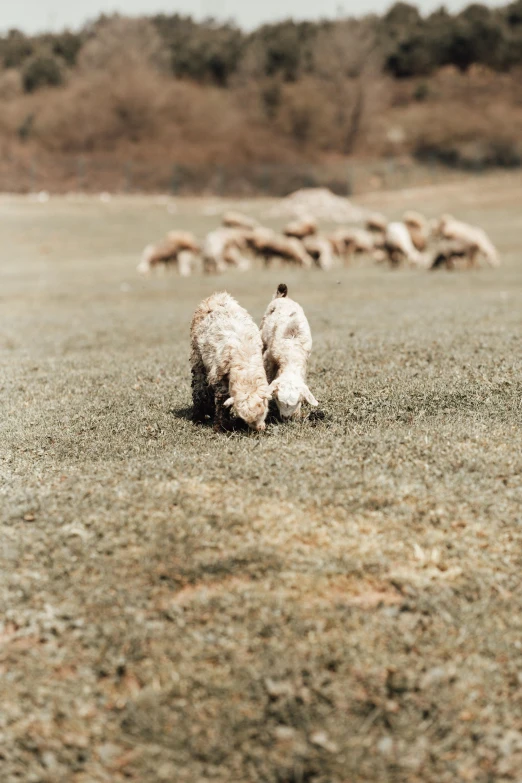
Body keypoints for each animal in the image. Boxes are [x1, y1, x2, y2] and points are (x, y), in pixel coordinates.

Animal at [190, 290, 270, 432]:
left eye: (264, 412)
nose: (260, 428)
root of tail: (216, 296)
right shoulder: (219, 376)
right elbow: (222, 401)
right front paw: (221, 426)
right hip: (197, 356)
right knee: (199, 386)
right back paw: (198, 416)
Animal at [260, 284, 316, 422]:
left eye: (298, 400)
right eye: (277, 399)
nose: (286, 418)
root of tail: (282, 297)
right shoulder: (268, 357)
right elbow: (268, 377)